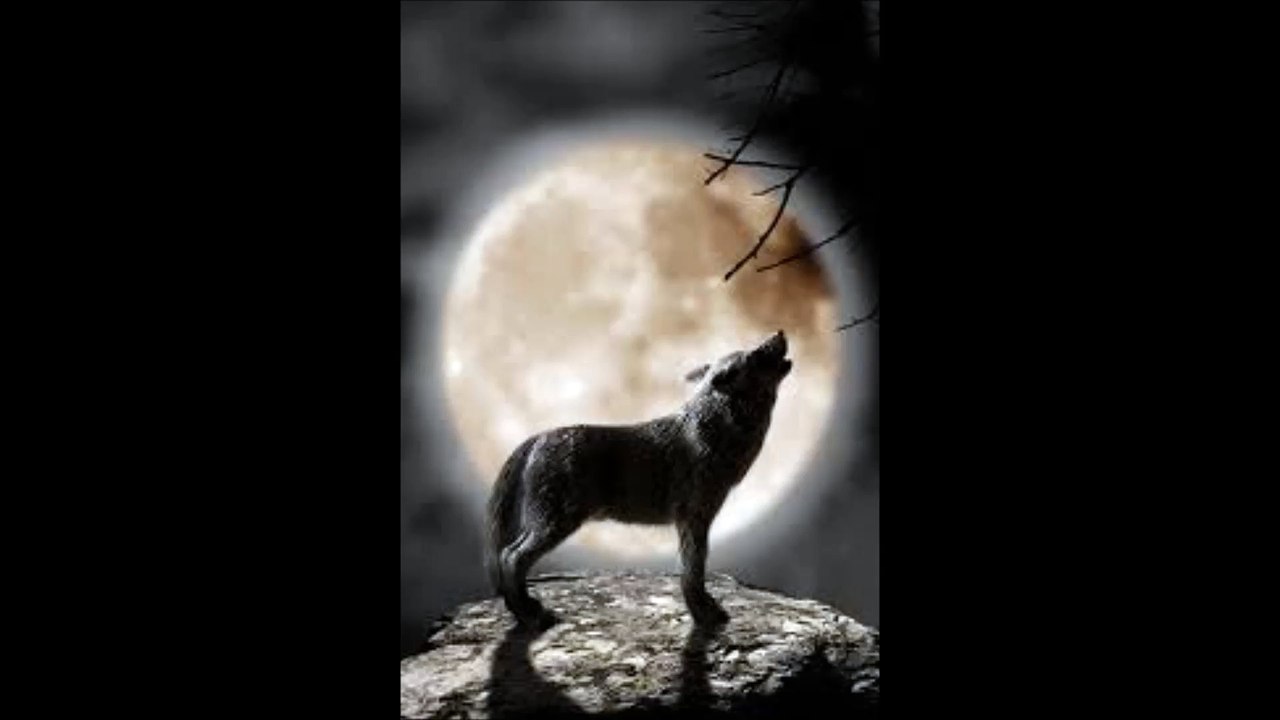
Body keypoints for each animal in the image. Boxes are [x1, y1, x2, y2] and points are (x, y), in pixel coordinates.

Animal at [485, 331, 792, 629]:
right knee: (511, 557)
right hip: (555, 524)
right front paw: (705, 614)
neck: (716, 430)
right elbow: (694, 571)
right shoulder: (694, 518)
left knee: (508, 555)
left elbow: (692, 571)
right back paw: (531, 617)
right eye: (757, 354)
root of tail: (536, 439)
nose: (780, 332)